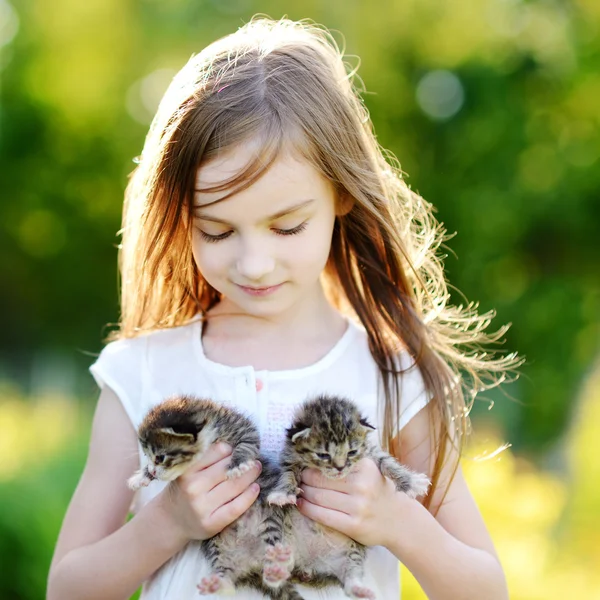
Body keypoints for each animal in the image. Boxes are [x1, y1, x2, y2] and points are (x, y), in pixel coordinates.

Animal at [129, 396, 302, 596]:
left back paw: (278, 564)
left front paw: (237, 464)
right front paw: (141, 476)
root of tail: (253, 565)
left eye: (160, 457)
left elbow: (247, 443)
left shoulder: (241, 427)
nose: (153, 471)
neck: (208, 431)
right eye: (146, 455)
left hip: (270, 522)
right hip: (214, 545)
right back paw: (220, 583)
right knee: (225, 572)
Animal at [268, 396, 432, 596]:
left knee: (350, 575)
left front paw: (410, 481)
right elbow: (287, 474)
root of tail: (310, 567)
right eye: (323, 455)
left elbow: (387, 462)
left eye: (352, 452)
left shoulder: (371, 452)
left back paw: (358, 588)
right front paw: (283, 493)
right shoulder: (290, 459)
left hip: (351, 554)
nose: (340, 468)